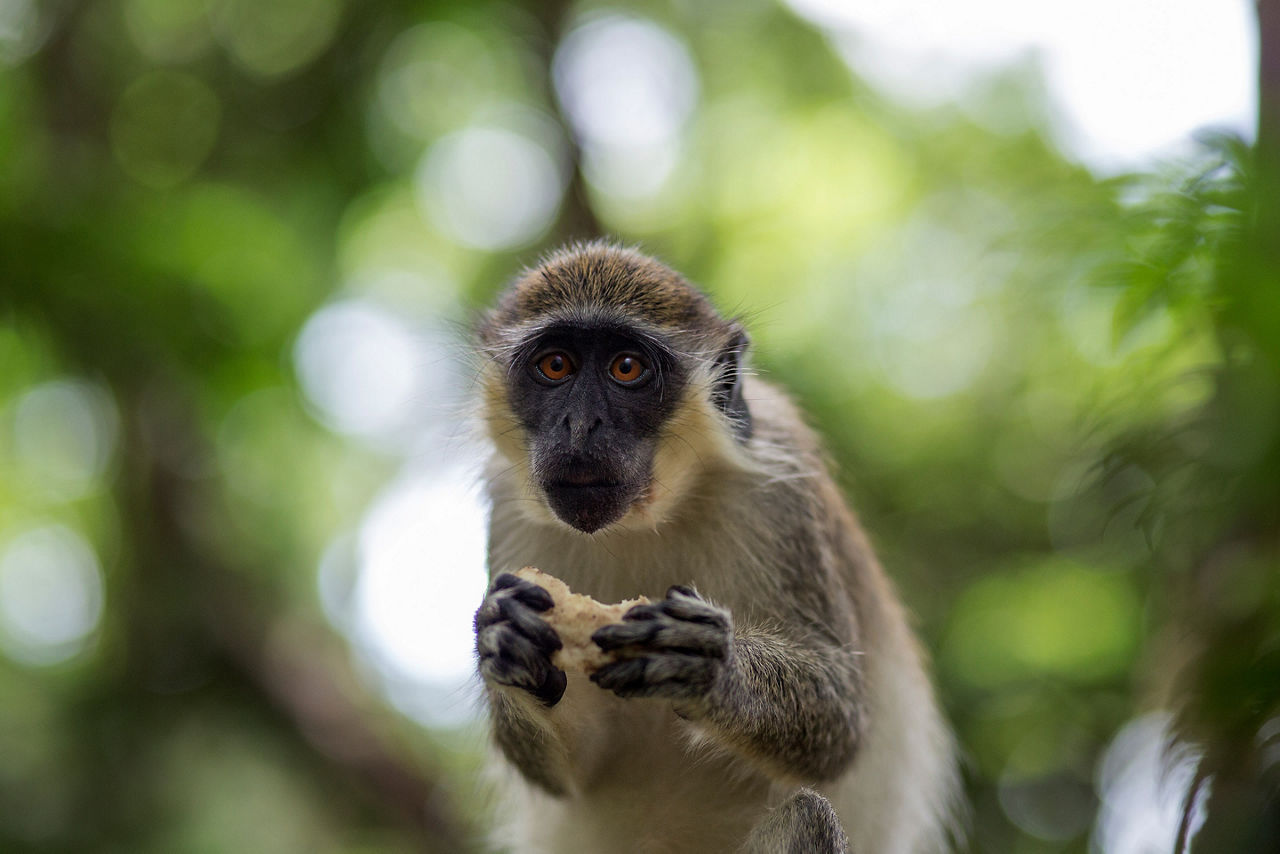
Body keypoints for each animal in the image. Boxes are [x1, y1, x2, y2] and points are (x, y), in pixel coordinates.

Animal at [473, 241, 962, 854]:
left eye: (626, 367)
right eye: (555, 366)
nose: (580, 425)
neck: (647, 519)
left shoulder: (783, 494)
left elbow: (841, 721)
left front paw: (711, 666)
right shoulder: (509, 513)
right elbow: (573, 769)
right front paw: (507, 641)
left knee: (808, 816)